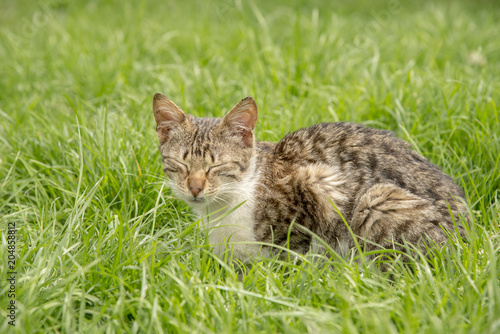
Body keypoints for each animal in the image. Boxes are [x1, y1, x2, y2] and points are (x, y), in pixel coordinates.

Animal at [153, 92, 468, 262]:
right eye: (180, 164)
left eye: (216, 166)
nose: (194, 188)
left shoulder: (316, 183)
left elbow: (291, 251)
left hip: (378, 198)